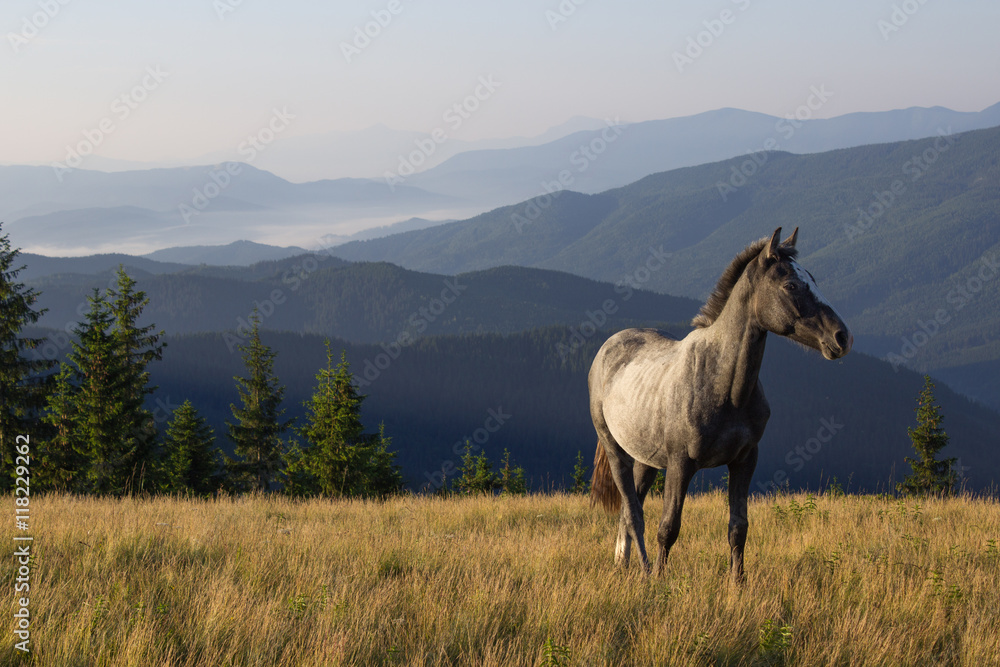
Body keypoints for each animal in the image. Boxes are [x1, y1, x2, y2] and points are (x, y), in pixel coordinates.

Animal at [588, 227, 856, 580]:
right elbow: (668, 528)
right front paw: (660, 580)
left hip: (646, 460)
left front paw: (737, 583)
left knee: (629, 510)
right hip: (616, 450)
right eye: (791, 285)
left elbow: (738, 528)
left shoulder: (744, 460)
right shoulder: (681, 464)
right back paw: (644, 570)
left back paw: (624, 564)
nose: (842, 337)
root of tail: (608, 347)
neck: (724, 386)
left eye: (812, 278)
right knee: (634, 514)